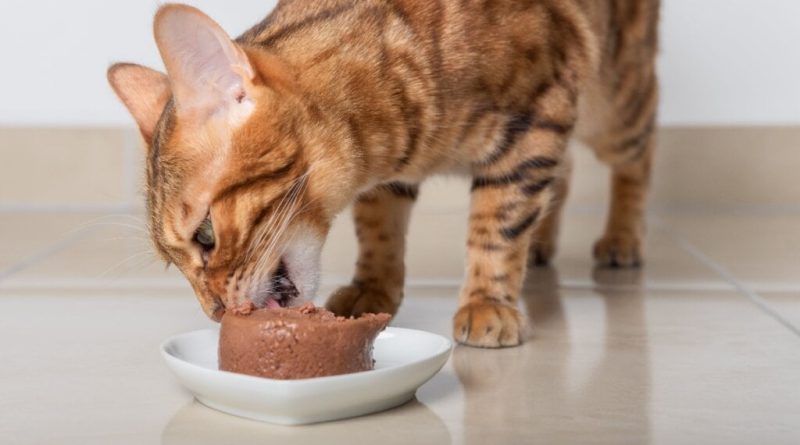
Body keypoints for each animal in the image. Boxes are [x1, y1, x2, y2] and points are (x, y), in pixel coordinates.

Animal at [108, 0, 656, 346]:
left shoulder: (535, 122)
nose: (217, 313)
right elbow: (379, 228)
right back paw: (542, 242)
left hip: (611, 102)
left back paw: (623, 238)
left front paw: (487, 302)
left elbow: (496, 226)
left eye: (205, 236)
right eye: (172, 263)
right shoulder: (389, 177)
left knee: (637, 154)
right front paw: (374, 286)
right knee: (564, 171)